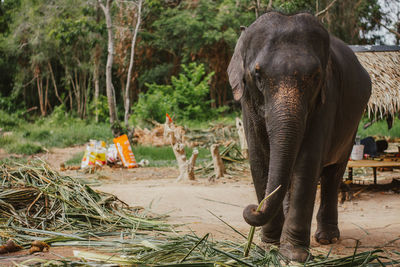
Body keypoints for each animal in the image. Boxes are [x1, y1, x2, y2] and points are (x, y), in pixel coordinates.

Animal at [227, 11, 370, 262]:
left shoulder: (327, 99)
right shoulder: (247, 103)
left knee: (334, 173)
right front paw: (269, 244)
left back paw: (327, 239)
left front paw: (293, 255)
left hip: (352, 126)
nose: (253, 208)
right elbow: (259, 159)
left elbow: (308, 162)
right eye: (257, 74)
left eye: (315, 77)